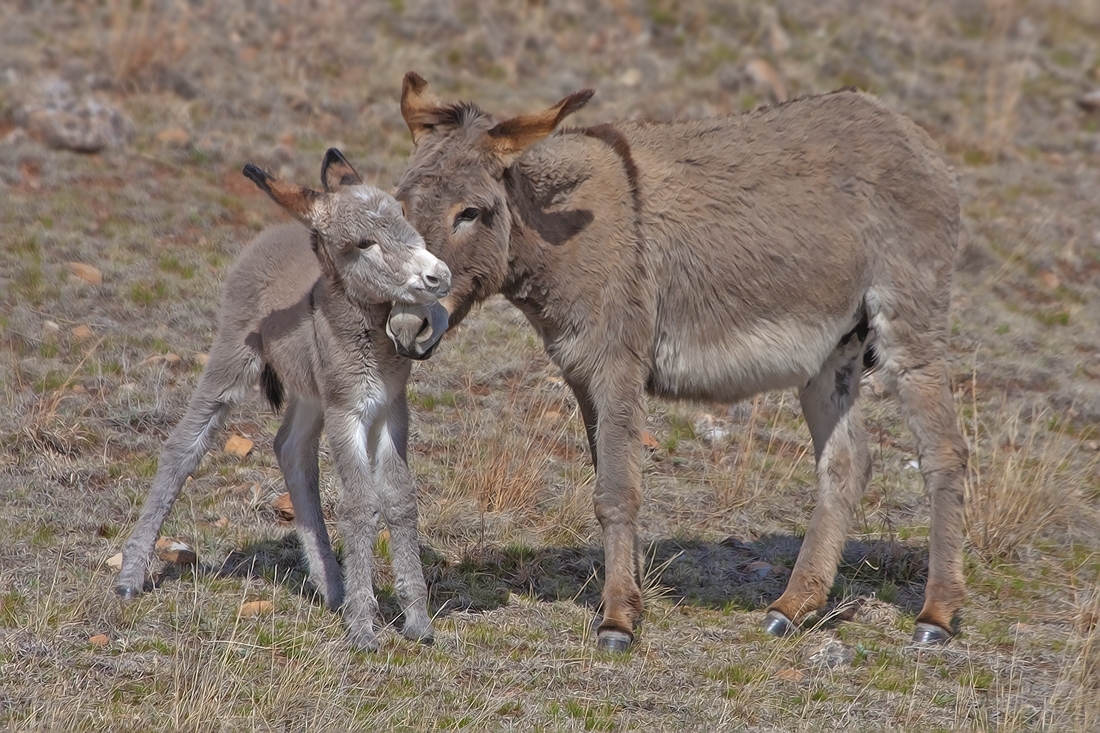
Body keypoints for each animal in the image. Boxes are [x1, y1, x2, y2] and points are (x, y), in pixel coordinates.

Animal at [117, 147, 451, 647]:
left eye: (405, 217)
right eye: (364, 243)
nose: (438, 276)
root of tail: (274, 232)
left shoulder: (391, 409)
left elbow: (400, 500)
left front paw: (417, 623)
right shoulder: (346, 411)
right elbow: (360, 505)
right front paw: (363, 628)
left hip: (310, 392)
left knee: (290, 449)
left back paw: (332, 585)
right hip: (233, 358)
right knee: (183, 447)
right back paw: (130, 577)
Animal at [391, 71, 968, 647]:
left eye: (469, 213)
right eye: (399, 209)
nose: (405, 326)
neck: (559, 232)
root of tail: (908, 131)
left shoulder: (618, 364)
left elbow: (616, 491)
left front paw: (617, 620)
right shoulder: (581, 371)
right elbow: (610, 474)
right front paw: (633, 593)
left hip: (908, 324)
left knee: (944, 452)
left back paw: (935, 615)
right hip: (833, 349)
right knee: (847, 463)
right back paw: (794, 606)